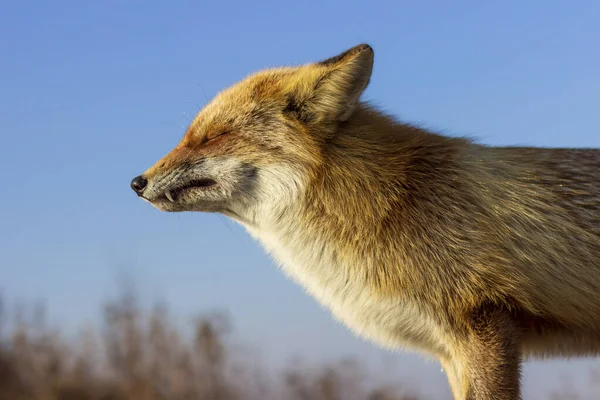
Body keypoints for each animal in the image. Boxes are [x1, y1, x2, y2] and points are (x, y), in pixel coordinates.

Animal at [132, 44, 600, 400]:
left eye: (212, 137)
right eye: (188, 136)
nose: (137, 182)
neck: (390, 198)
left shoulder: (482, 322)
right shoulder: (451, 349)